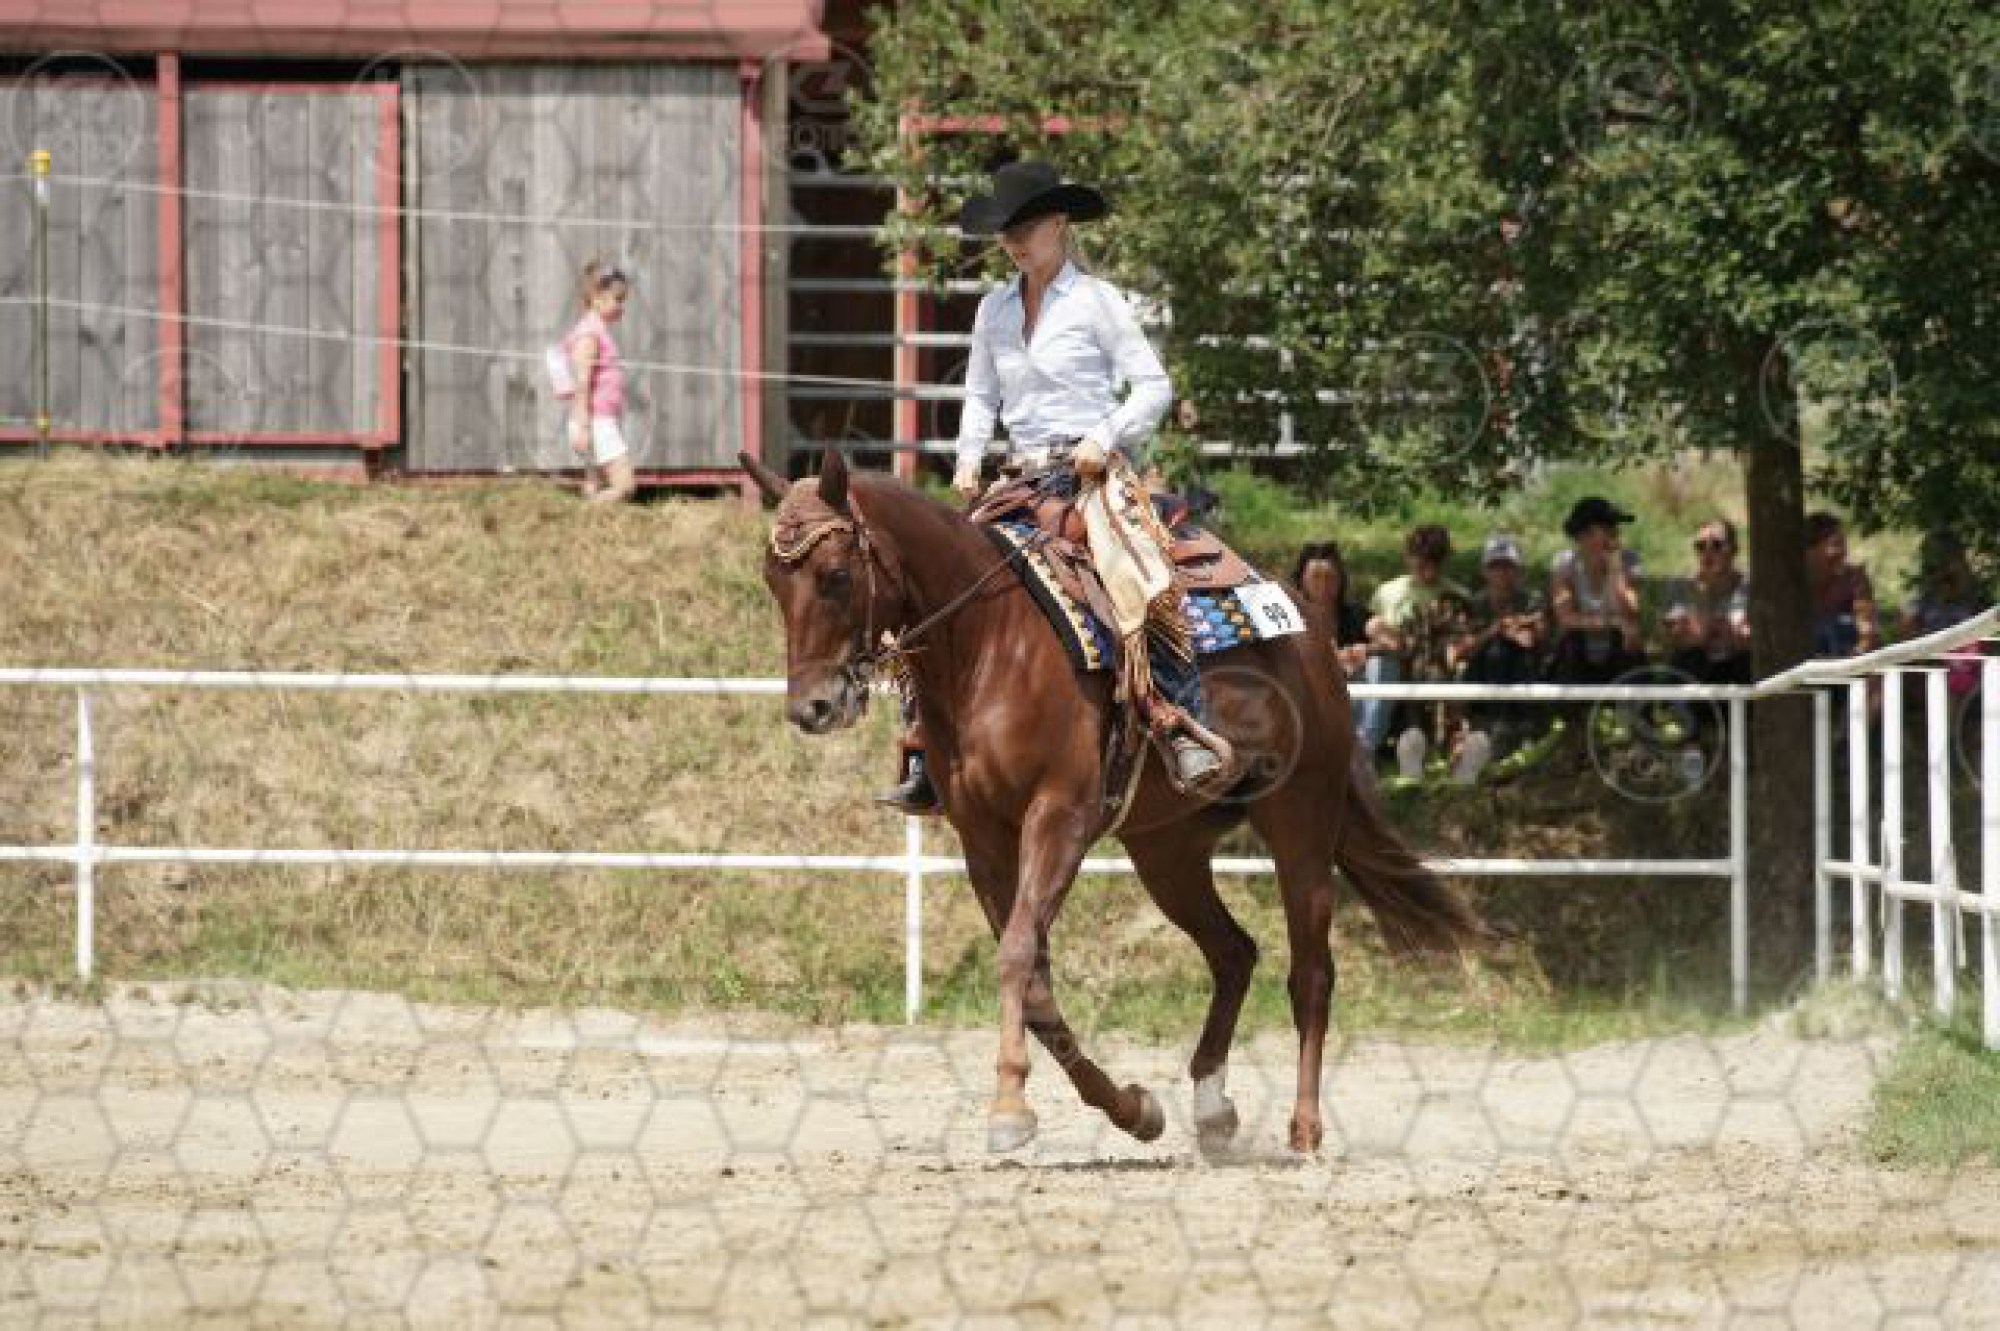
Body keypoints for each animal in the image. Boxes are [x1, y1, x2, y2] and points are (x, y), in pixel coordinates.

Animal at [741, 448, 1488, 1154]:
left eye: (835, 575)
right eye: (773, 581)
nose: (811, 708)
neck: (990, 645)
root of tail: (1312, 632)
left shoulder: (1060, 818)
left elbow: (1018, 953)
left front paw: (1009, 1106)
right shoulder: (983, 839)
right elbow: (1035, 980)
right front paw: (1132, 1109)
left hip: (1300, 818)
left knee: (1311, 972)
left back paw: (1304, 1127)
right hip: (1168, 851)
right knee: (1234, 952)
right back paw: (1211, 1108)